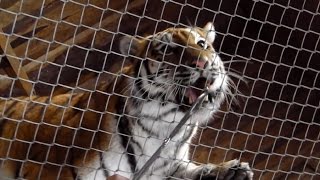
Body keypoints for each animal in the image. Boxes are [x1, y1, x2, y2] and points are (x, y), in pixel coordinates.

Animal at [0, 22, 252, 180]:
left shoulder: (165, 168)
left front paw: (230, 170)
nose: (203, 62)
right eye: (168, 50)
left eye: (202, 44)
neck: (164, 126)